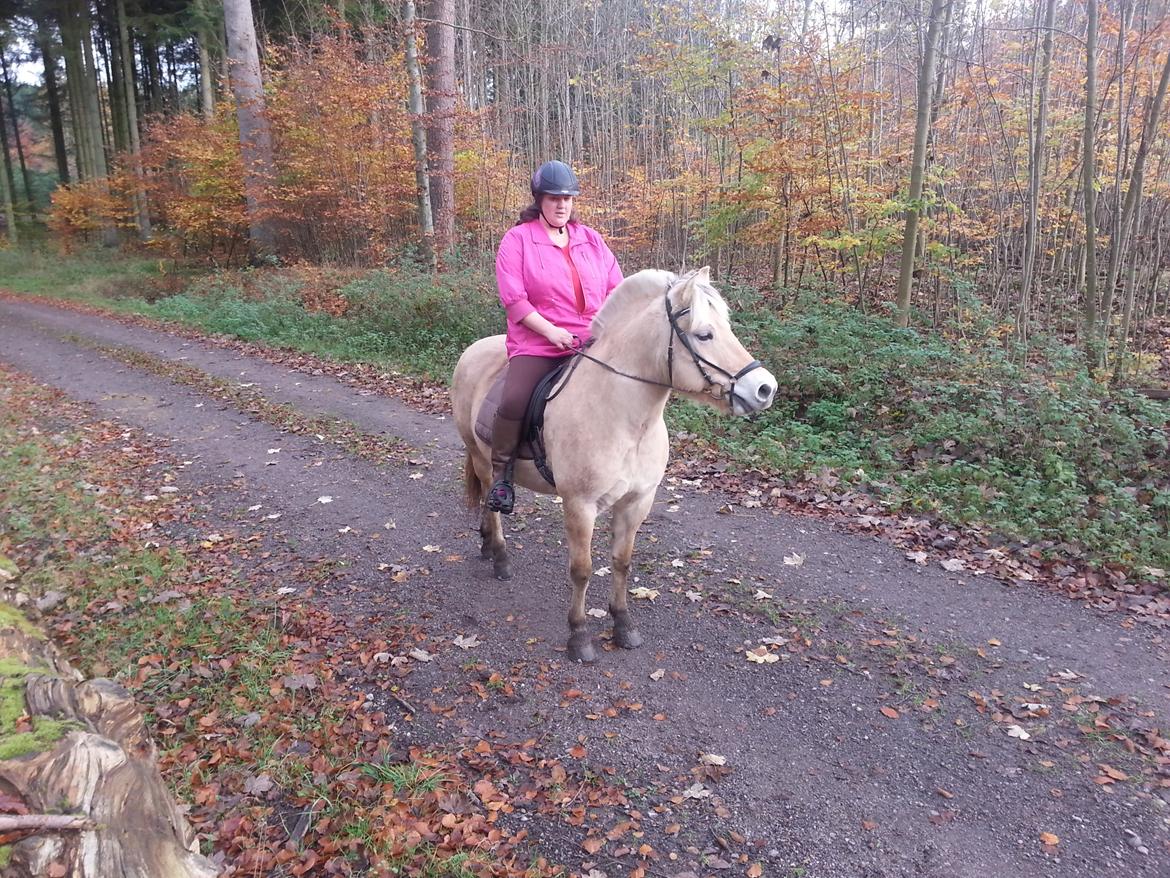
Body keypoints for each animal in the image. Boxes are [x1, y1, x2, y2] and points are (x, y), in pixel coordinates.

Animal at [449, 271, 776, 664]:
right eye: (704, 334)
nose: (765, 388)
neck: (624, 419)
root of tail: (474, 349)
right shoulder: (579, 505)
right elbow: (582, 570)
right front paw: (579, 636)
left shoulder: (637, 502)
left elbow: (621, 563)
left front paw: (623, 624)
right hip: (482, 457)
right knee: (492, 495)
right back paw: (498, 556)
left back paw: (486, 545)